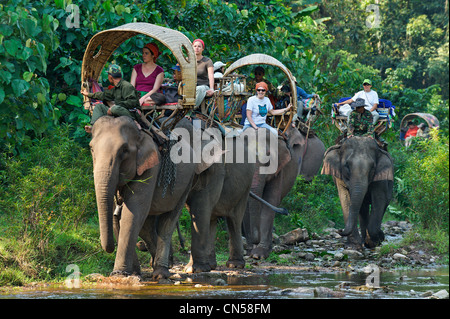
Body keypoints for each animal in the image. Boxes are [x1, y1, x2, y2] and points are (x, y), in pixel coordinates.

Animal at [243, 124, 326, 262]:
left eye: (268, 161)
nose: (285, 211)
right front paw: (250, 251)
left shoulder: (279, 169)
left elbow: (270, 200)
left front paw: (258, 254)